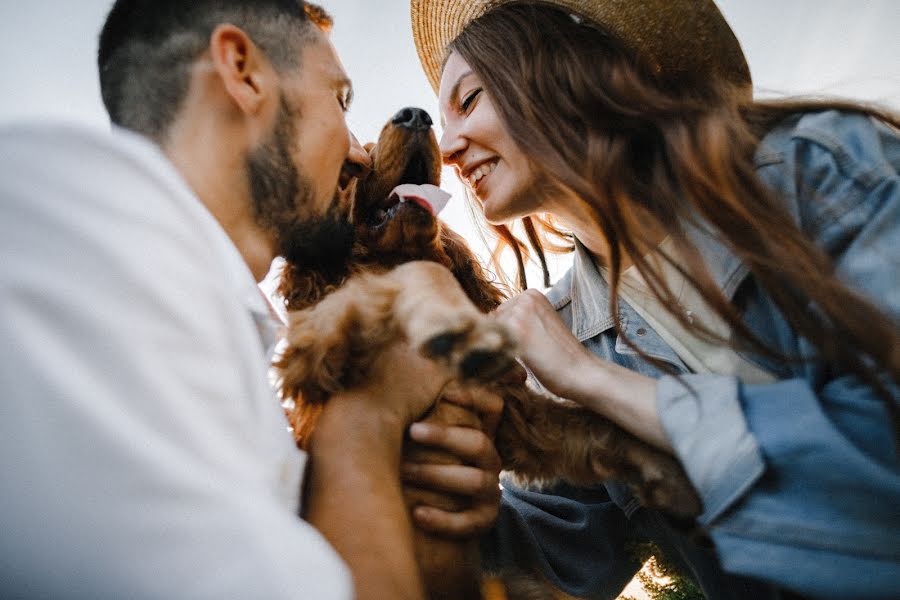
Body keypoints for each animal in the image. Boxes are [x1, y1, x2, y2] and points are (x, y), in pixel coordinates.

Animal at [278, 109, 700, 600]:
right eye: (360, 163)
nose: (415, 115)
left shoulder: (516, 416)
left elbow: (599, 425)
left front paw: (671, 474)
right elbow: (376, 292)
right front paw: (317, 345)